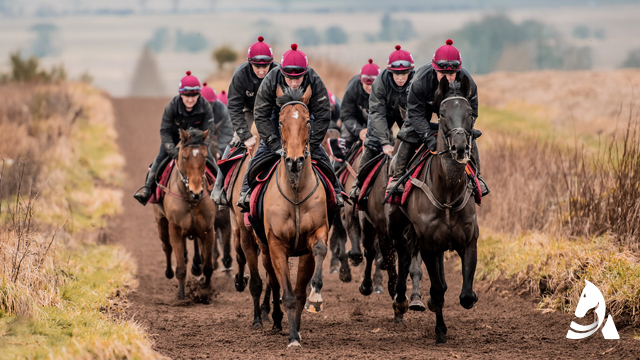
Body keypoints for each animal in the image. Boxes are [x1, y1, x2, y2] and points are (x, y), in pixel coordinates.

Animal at [154, 128, 219, 300]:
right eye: (184, 157)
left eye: (204, 156)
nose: (197, 192)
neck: (190, 199)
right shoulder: (175, 229)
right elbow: (181, 268)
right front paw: (182, 297)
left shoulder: (208, 229)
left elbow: (208, 266)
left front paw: (205, 291)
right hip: (161, 221)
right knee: (166, 247)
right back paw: (169, 272)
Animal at [260, 86, 330, 348]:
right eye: (280, 122)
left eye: (308, 121)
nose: (294, 161)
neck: (296, 191)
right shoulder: (277, 244)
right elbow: (288, 295)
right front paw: (292, 338)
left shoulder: (315, 233)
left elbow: (319, 250)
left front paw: (316, 297)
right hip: (263, 248)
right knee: (272, 279)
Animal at [400, 76, 480, 344]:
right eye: (443, 114)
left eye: (469, 113)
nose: (459, 148)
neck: (447, 193)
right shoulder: (427, 245)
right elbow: (436, 290)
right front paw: (440, 330)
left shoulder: (470, 241)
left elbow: (466, 296)